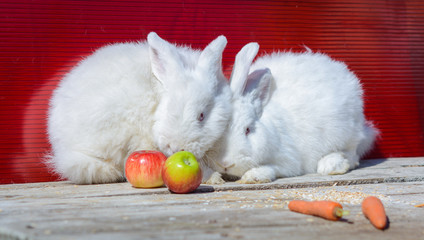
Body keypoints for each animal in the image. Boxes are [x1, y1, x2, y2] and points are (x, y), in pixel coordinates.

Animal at [208, 45, 378, 184]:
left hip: (346, 134)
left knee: (353, 155)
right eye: (220, 128)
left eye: (248, 130)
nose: (225, 163)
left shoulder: (289, 160)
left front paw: (253, 176)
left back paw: (331, 165)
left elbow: (272, 168)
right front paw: (214, 177)